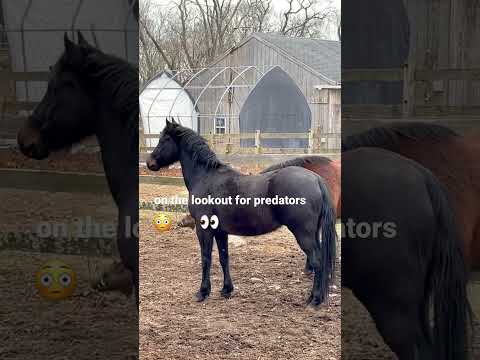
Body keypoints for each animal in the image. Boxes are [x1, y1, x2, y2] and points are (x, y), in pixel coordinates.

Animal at [148, 119, 336, 306]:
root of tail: (316, 179)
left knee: (317, 261)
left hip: (303, 234)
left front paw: (203, 292)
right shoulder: (220, 231)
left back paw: (315, 299)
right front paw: (226, 289)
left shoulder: (204, 230)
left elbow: (206, 258)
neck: (206, 178)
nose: (150, 163)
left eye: (164, 139)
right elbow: (224, 258)